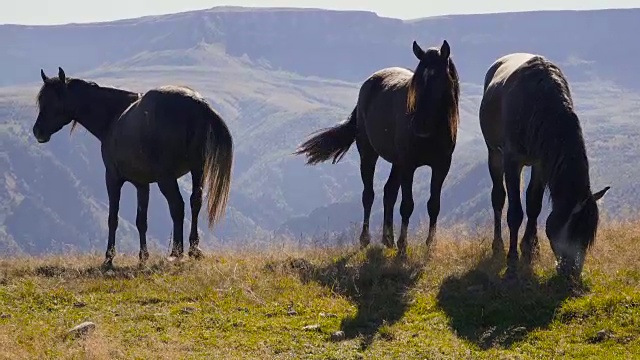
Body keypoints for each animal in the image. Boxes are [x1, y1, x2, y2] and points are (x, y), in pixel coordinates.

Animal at [32, 67, 232, 268]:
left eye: (54, 100)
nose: (37, 131)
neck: (113, 117)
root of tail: (197, 104)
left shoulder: (112, 179)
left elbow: (113, 218)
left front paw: (109, 258)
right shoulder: (142, 184)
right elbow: (141, 221)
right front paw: (143, 257)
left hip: (167, 178)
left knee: (177, 206)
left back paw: (176, 252)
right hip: (198, 169)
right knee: (195, 201)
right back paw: (193, 249)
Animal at [296, 40, 460, 253]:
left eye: (439, 78)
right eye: (416, 81)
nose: (419, 126)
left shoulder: (441, 166)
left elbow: (434, 205)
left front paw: (430, 245)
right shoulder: (409, 166)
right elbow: (407, 205)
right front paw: (403, 245)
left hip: (397, 162)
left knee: (389, 192)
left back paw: (388, 238)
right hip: (369, 154)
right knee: (369, 195)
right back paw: (366, 239)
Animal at [480, 52, 608, 280]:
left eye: (587, 237)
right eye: (574, 231)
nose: (573, 272)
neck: (539, 103)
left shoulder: (541, 164)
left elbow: (534, 205)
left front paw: (530, 250)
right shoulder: (512, 161)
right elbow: (515, 212)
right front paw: (512, 260)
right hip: (494, 153)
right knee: (498, 198)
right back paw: (498, 246)